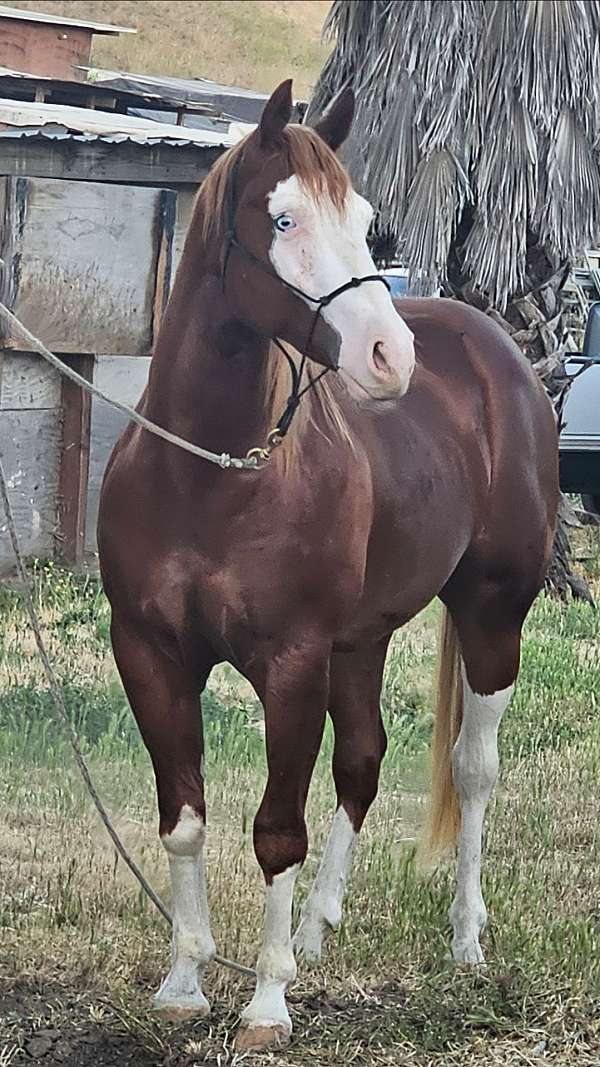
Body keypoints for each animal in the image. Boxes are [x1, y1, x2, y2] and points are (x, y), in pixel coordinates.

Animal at [97, 80, 558, 1052]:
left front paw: (267, 1003)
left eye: (368, 221)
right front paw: (185, 981)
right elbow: (184, 821)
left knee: (472, 768)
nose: (391, 357)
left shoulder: (292, 663)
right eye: (282, 219)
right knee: (363, 760)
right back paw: (316, 928)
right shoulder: (151, 654)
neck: (213, 476)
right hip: (362, 640)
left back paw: (466, 940)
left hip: (493, 614)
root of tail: (493, 346)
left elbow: (278, 828)